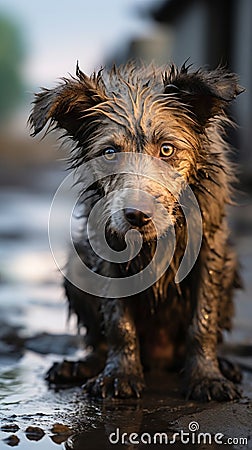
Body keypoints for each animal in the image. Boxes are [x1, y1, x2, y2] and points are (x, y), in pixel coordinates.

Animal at [29, 60, 242, 400]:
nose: (137, 215)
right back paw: (81, 366)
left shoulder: (209, 249)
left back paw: (224, 365)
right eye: (110, 153)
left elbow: (202, 320)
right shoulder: (105, 252)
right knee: (99, 342)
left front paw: (207, 377)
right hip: (77, 266)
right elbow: (119, 322)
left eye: (166, 150)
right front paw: (119, 374)